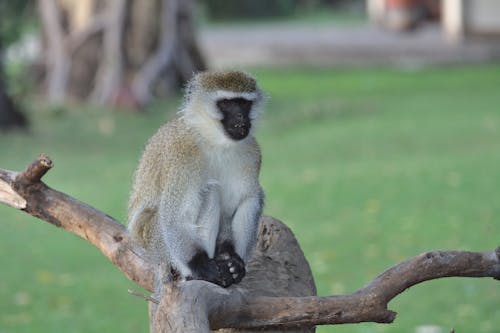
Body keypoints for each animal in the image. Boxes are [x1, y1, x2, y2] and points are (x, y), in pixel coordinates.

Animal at [128, 69, 266, 286]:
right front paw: (200, 265)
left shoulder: (251, 152)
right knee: (210, 192)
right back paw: (194, 274)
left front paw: (230, 256)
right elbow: (175, 216)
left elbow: (236, 204)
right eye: (226, 103)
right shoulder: (183, 154)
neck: (214, 141)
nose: (240, 118)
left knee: (253, 197)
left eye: (244, 104)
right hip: (156, 244)